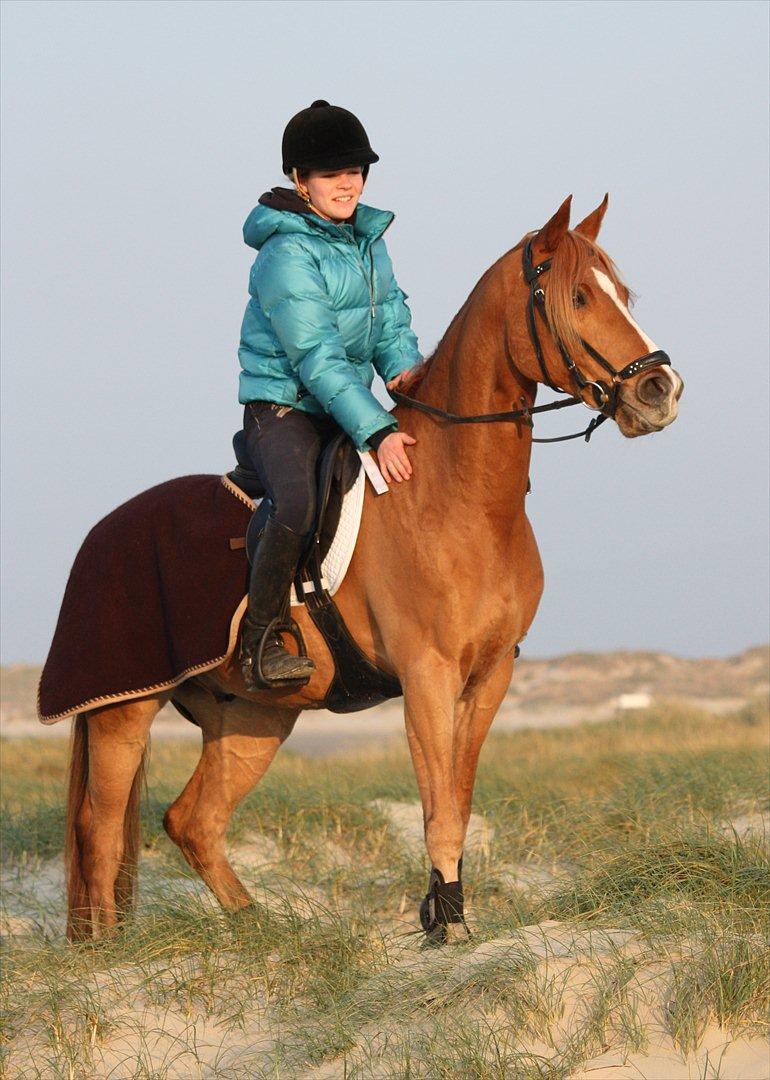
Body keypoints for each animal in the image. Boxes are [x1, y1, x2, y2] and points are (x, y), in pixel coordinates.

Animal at [61, 194, 683, 942]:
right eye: (579, 296)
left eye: (624, 294)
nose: (660, 390)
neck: (460, 499)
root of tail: (101, 533)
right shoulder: (426, 676)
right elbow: (438, 813)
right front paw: (447, 930)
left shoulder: (489, 678)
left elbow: (457, 806)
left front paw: (446, 917)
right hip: (122, 712)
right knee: (100, 833)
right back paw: (109, 950)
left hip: (253, 720)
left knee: (193, 823)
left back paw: (264, 933)